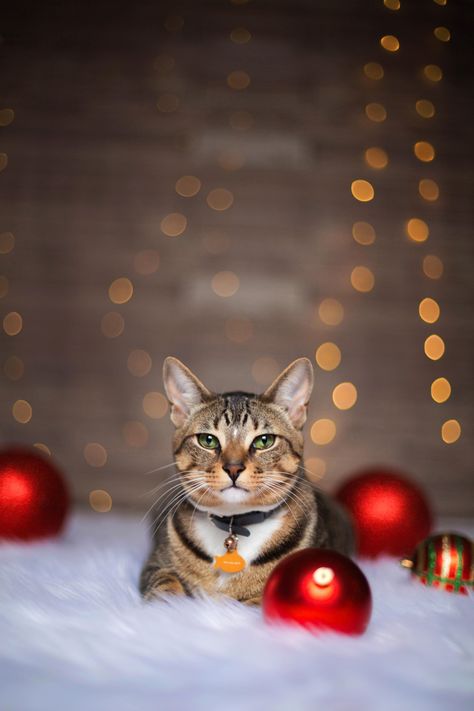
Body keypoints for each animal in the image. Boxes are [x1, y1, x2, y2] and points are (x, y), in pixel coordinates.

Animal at [139, 356, 354, 608]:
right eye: (207, 440)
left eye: (264, 441)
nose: (233, 468)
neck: (235, 524)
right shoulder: (154, 565)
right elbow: (164, 584)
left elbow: (256, 603)